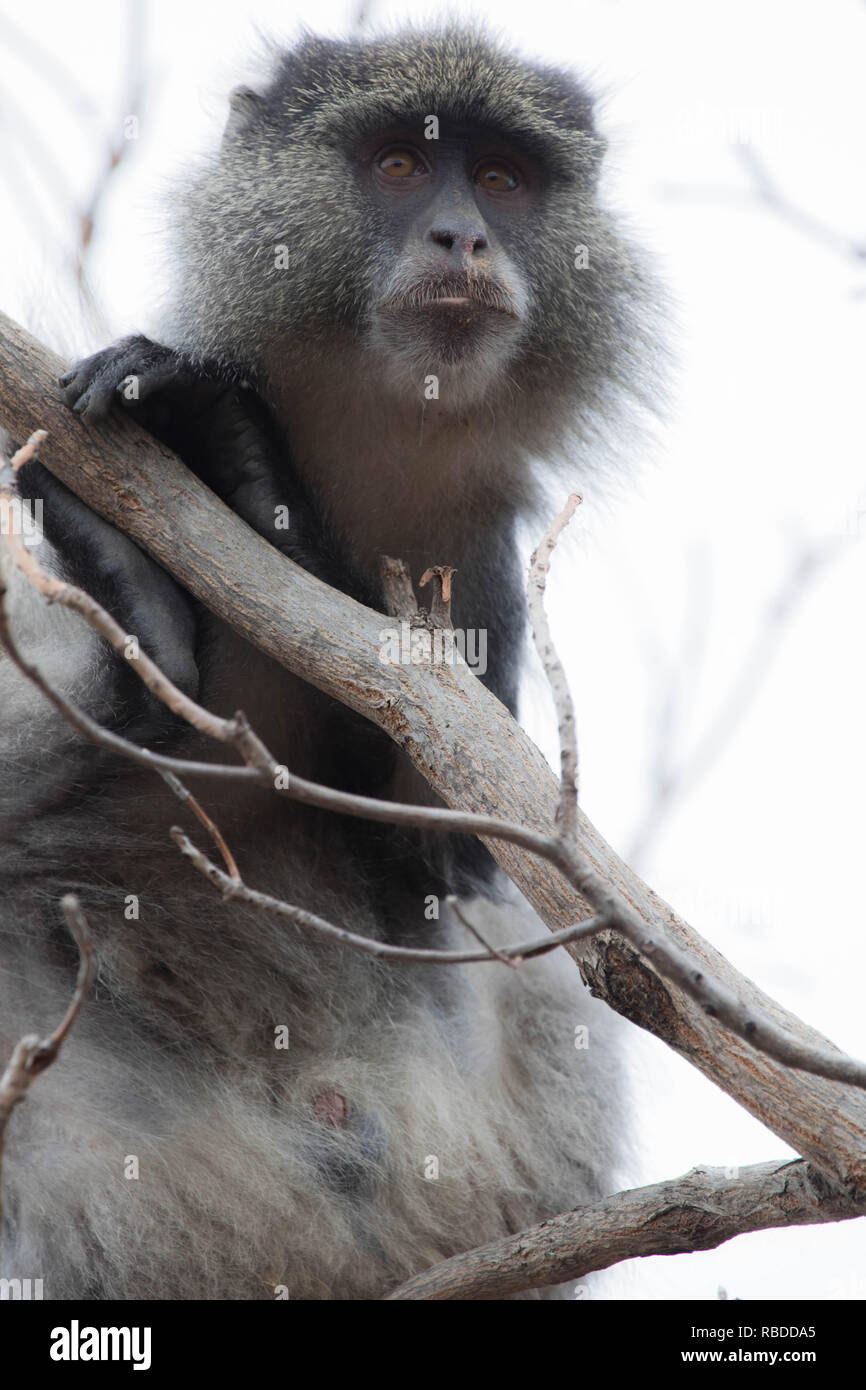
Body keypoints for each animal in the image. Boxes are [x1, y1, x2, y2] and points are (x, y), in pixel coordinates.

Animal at [0, 24, 656, 1301]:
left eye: (500, 178)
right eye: (400, 163)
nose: (462, 236)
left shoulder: (481, 552)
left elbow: (453, 864)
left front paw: (250, 468)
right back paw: (135, 610)